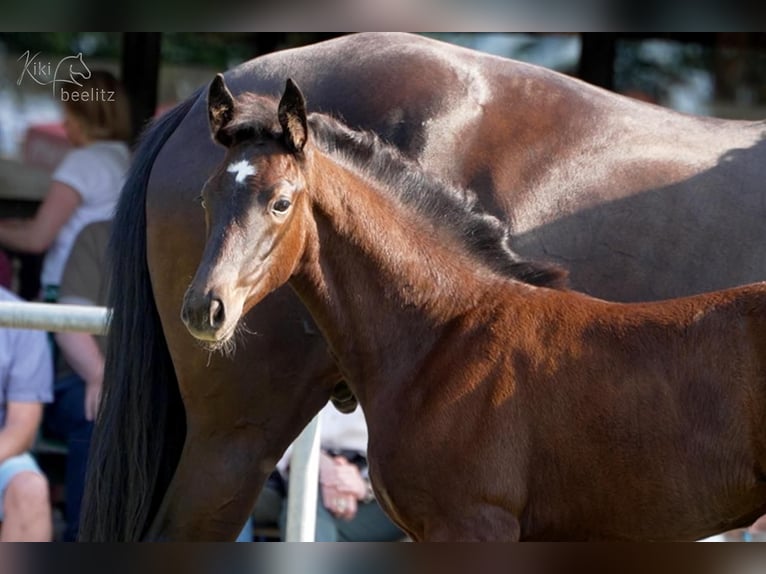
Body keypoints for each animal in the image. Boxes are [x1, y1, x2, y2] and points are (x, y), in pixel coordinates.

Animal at [79, 33, 766, 541]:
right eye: (205, 198)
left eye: (280, 201)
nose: (205, 309)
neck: (453, 329)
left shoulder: (474, 525)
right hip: (236, 431)